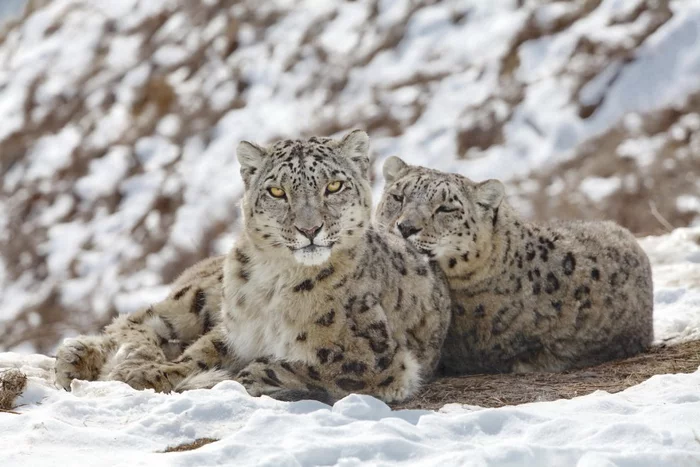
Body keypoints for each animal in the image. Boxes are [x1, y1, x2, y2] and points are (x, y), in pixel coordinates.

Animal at [54, 131, 452, 402]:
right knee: (139, 321)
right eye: (277, 191)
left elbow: (273, 366)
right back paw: (78, 358)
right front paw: (148, 373)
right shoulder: (235, 330)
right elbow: (197, 355)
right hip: (196, 298)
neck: (274, 284)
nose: (310, 229)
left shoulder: (369, 360)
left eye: (334, 186)